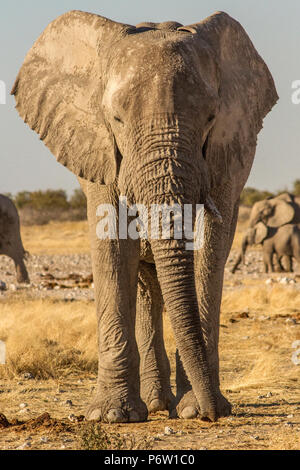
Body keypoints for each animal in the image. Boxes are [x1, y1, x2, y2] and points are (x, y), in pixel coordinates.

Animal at [11, 10, 278, 422]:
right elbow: (112, 245)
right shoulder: (98, 150)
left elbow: (213, 248)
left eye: (211, 117)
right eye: (117, 119)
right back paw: (155, 405)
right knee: (145, 284)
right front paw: (111, 416)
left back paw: (166, 404)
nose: (212, 414)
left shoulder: (234, 147)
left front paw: (193, 408)